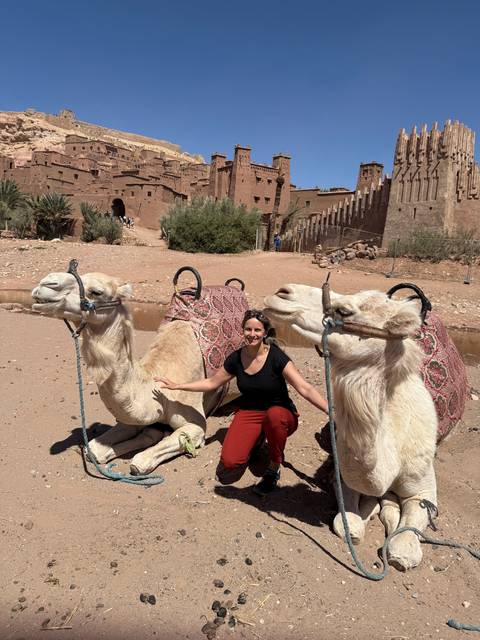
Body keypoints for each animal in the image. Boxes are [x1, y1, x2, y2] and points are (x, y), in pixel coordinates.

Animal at [32, 270, 239, 475]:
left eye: (96, 292)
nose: (46, 283)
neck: (156, 387)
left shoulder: (195, 425)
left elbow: (139, 462)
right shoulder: (132, 418)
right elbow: (95, 449)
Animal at [264, 283, 464, 571]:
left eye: (345, 311)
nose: (282, 292)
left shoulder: (424, 489)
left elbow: (406, 539)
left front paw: (401, 555)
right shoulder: (345, 476)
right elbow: (348, 518)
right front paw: (364, 517)